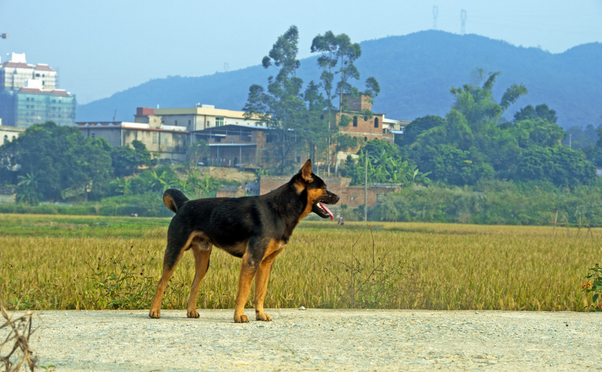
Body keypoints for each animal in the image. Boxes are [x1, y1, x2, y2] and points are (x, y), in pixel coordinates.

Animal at [148, 160, 338, 322]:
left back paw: (191, 312)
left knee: (195, 284)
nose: (338, 197)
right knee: (161, 282)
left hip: (203, 259)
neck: (280, 210)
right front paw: (239, 316)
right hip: (175, 250)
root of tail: (184, 204)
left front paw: (260, 315)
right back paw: (154, 311)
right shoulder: (251, 259)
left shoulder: (265, 263)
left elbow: (260, 292)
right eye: (324, 188)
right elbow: (244, 292)